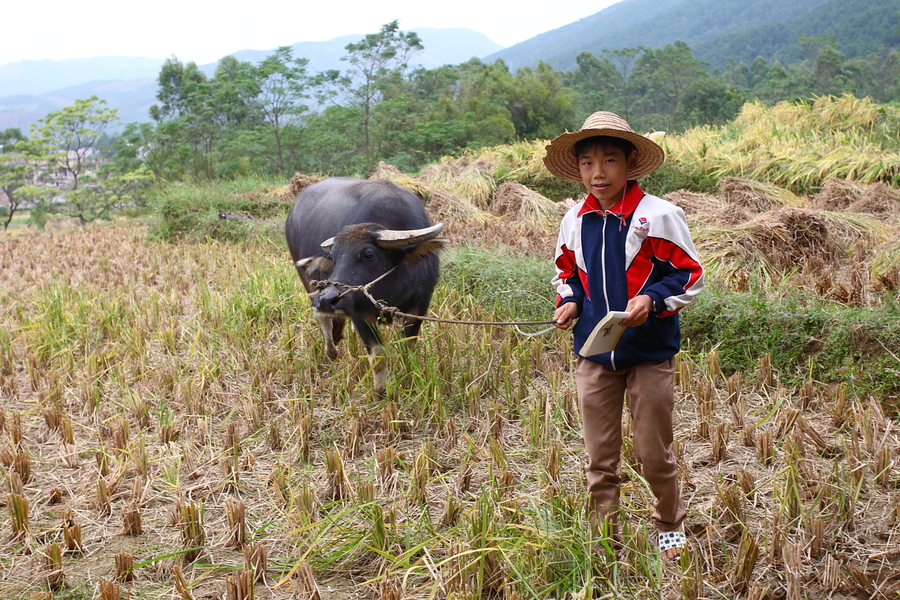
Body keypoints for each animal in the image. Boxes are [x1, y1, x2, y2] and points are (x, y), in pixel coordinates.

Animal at [284, 176, 446, 396]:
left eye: (368, 254)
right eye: (333, 257)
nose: (327, 300)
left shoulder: (419, 306)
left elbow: (408, 349)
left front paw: (410, 379)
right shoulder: (359, 313)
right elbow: (378, 356)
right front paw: (380, 393)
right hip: (309, 283)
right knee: (322, 319)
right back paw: (331, 353)